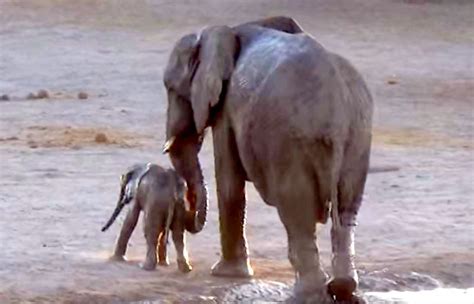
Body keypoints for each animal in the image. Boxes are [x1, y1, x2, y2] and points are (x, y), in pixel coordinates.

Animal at [163, 17, 374, 304]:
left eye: (172, 89)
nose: (187, 267)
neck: (227, 32)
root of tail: (337, 113)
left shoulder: (227, 108)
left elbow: (229, 184)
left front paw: (226, 274)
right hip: (358, 137)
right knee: (347, 207)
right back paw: (343, 289)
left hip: (289, 140)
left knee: (296, 211)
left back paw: (305, 296)